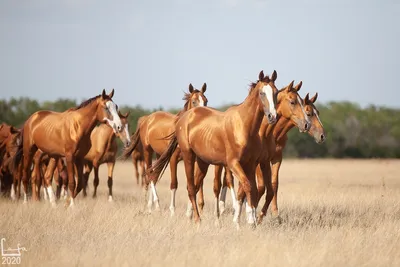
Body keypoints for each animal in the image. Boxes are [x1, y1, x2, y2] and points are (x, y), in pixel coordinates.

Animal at [121, 82, 209, 215]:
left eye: (206, 101)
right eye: (194, 101)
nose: (202, 115)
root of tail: (147, 119)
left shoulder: (193, 160)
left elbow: (196, 183)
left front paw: (192, 211)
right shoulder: (173, 159)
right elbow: (174, 184)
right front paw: (172, 211)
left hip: (159, 155)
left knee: (155, 175)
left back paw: (151, 206)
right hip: (148, 151)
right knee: (150, 174)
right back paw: (155, 205)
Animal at [148, 70, 278, 227]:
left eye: (276, 92)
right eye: (261, 93)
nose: (272, 116)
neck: (244, 126)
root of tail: (183, 118)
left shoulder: (250, 164)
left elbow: (248, 189)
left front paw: (249, 220)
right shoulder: (233, 164)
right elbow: (247, 186)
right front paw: (245, 222)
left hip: (202, 162)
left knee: (195, 185)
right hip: (188, 157)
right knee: (190, 187)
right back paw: (197, 219)